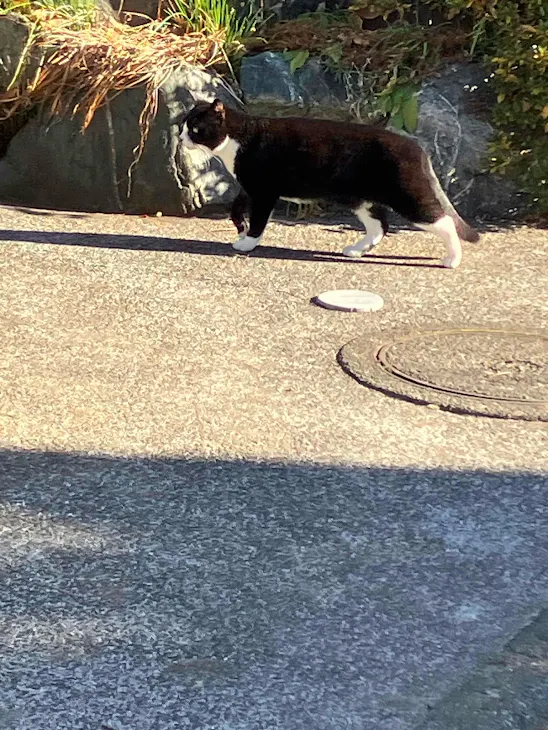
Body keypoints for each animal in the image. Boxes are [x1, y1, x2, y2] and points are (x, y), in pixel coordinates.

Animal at [181, 98, 480, 266]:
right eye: (184, 126)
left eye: (195, 129)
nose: (181, 138)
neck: (241, 135)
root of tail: (419, 149)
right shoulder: (249, 188)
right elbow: (236, 209)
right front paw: (240, 230)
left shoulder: (264, 191)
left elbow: (258, 220)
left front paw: (248, 242)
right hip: (362, 200)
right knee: (379, 226)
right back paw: (356, 250)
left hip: (407, 196)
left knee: (443, 221)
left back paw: (452, 260)